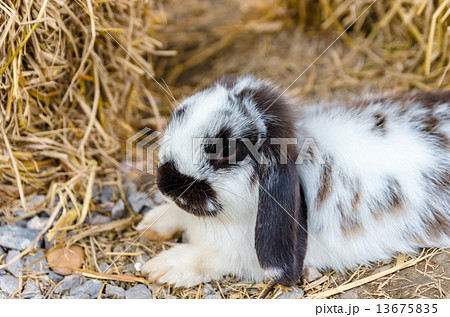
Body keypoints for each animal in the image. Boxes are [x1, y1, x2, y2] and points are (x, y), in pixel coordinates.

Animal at [135, 74, 448, 286]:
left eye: (227, 151)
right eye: (179, 113)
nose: (166, 184)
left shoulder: (237, 253)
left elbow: (207, 257)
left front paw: (161, 267)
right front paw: (149, 225)